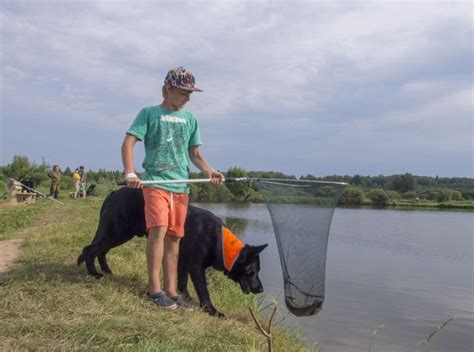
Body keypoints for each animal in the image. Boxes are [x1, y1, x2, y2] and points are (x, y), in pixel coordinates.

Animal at [79, 187, 268, 316]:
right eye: (252, 272)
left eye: (257, 271)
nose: (260, 289)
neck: (218, 240)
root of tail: (113, 193)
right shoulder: (196, 268)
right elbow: (204, 291)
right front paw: (212, 311)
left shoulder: (182, 262)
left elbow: (182, 283)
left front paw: (184, 298)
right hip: (117, 233)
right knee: (89, 250)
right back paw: (93, 273)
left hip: (117, 234)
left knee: (100, 251)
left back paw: (106, 270)